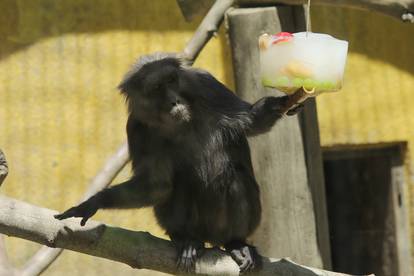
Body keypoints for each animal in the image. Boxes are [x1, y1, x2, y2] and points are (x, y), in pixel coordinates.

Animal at [55, 52, 300, 272]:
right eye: (157, 88)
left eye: (171, 80)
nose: (174, 100)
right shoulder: (137, 128)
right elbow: (156, 186)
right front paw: (95, 201)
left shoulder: (206, 84)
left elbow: (253, 120)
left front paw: (280, 103)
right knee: (182, 184)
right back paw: (186, 240)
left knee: (235, 179)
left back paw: (236, 243)